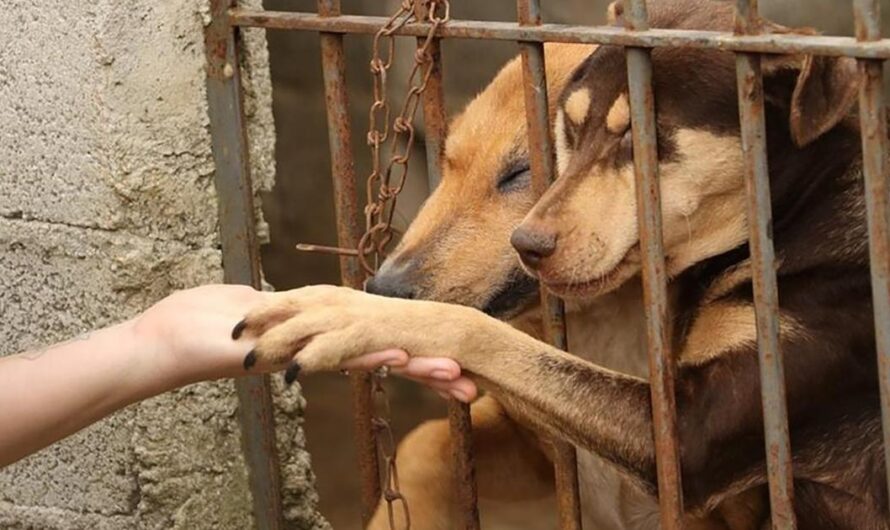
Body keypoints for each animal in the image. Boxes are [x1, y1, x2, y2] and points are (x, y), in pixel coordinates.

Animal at [236, 2, 880, 524]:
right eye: (445, 163)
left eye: (522, 172)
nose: (385, 287)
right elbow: (428, 442)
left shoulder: (690, 440)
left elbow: (477, 331)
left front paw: (352, 316)